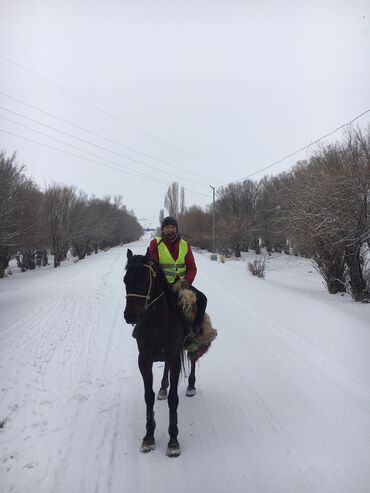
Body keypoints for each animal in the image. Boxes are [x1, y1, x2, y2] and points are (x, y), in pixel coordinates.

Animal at [124, 248, 195, 456]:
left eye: (142, 279)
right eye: (125, 280)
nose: (129, 316)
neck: (156, 324)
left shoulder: (175, 358)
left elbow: (174, 398)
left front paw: (173, 440)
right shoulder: (144, 360)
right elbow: (148, 397)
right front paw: (148, 437)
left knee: (194, 361)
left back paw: (191, 385)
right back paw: (163, 388)